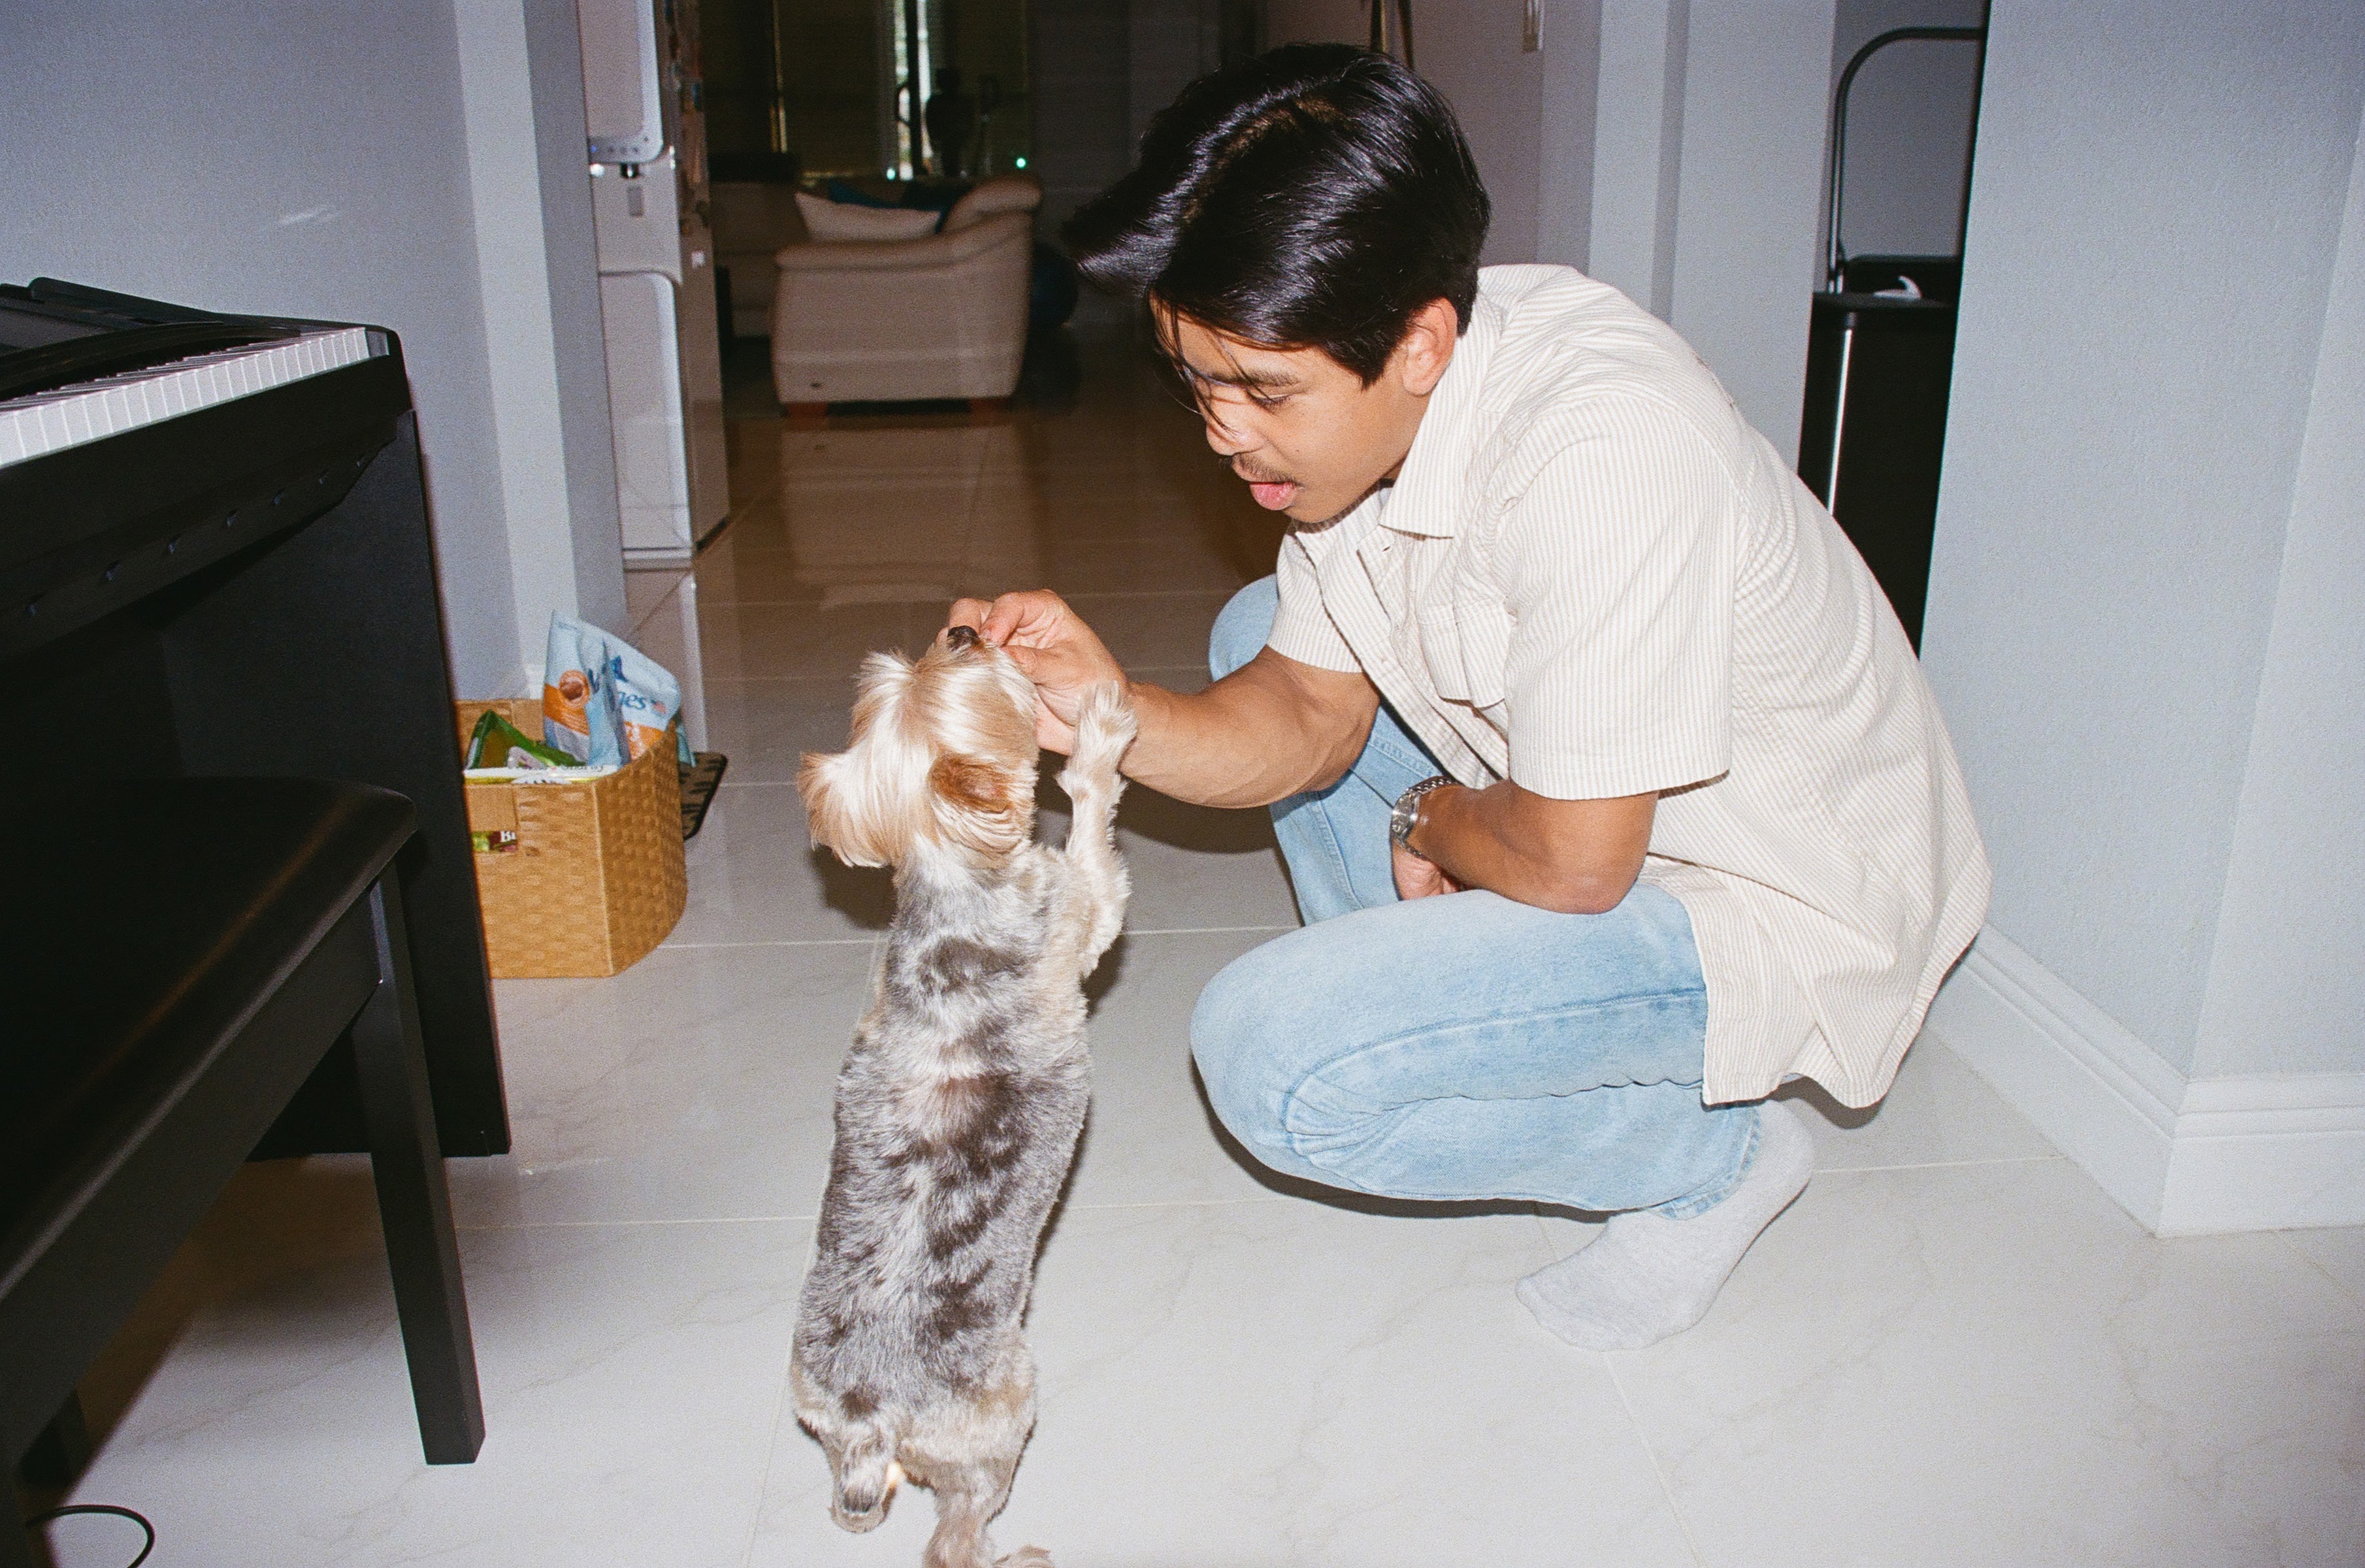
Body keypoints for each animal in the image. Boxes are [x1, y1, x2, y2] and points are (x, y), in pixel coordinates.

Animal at [793, 624, 1134, 1568]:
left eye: (918, 662)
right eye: (969, 671)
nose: (965, 629)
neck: (951, 880)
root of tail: (870, 1421)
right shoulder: (1081, 906)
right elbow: (1090, 813)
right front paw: (1098, 730)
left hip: (826, 1427)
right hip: (1001, 1419)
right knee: (953, 1539)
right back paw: (1018, 1556)